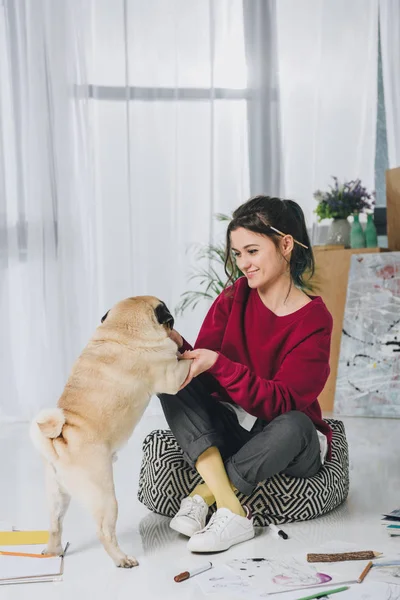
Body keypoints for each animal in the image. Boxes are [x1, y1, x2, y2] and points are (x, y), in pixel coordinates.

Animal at [29, 298, 191, 568]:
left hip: (57, 496)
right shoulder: (172, 378)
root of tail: (58, 441)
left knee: (55, 525)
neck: (122, 329)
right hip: (104, 497)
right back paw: (122, 560)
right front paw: (190, 352)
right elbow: (185, 362)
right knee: (104, 532)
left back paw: (53, 551)